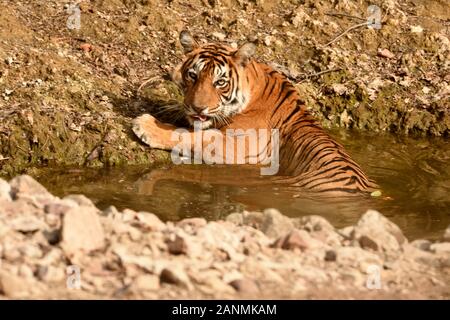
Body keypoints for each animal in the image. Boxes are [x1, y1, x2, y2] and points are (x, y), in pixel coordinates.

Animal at [134, 30, 380, 195]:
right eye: (193, 75)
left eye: (220, 82)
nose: (197, 107)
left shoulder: (237, 145)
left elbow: (192, 135)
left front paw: (146, 125)